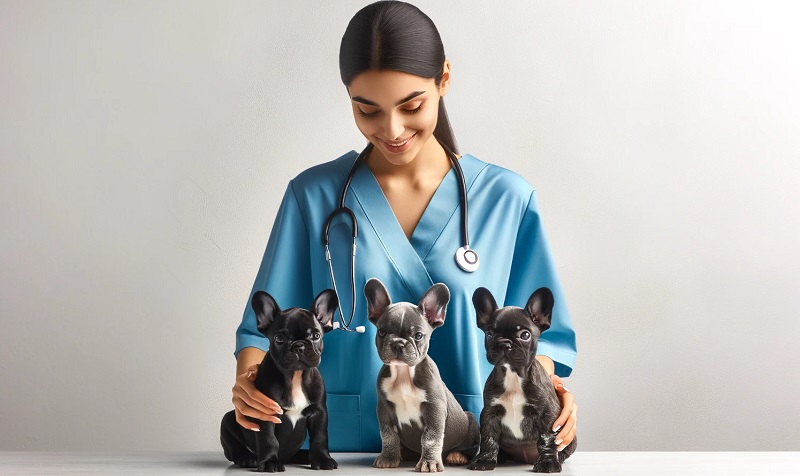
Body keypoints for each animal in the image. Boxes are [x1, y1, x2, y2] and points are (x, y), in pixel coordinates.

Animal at [220, 290, 340, 472]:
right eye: (278, 338)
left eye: (316, 335)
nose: (299, 345)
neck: (295, 376)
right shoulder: (266, 413)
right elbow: (268, 439)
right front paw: (270, 461)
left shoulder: (319, 413)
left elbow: (320, 436)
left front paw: (322, 458)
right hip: (228, 421)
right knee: (234, 449)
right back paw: (247, 458)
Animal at [364, 278, 482, 472]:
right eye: (381, 332)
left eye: (418, 335)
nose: (398, 343)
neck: (404, 373)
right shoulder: (384, 409)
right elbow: (388, 435)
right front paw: (388, 457)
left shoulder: (434, 408)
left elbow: (430, 438)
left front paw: (429, 462)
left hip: (471, 422)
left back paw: (457, 455)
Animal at [466, 286, 580, 472]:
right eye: (489, 333)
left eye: (525, 335)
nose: (505, 343)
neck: (513, 375)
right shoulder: (490, 413)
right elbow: (489, 438)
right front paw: (484, 459)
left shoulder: (548, 415)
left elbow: (547, 440)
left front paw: (548, 462)